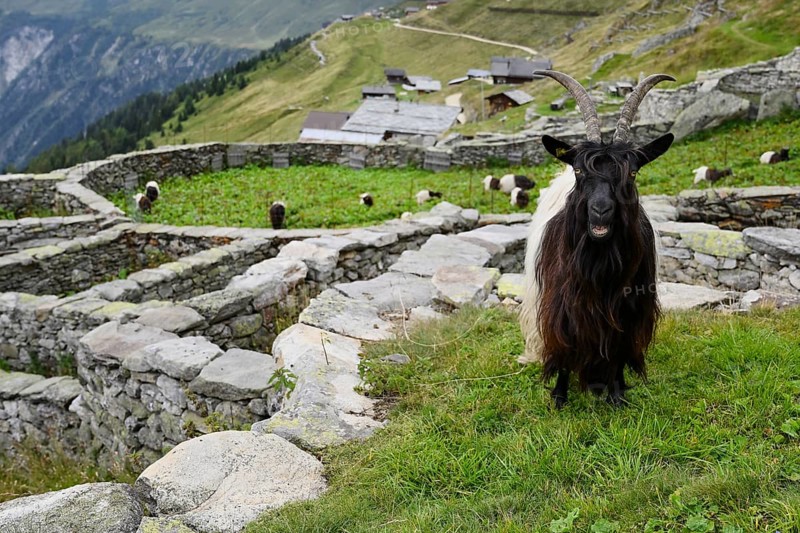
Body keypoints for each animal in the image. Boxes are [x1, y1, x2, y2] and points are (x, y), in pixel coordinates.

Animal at [518, 70, 675, 408]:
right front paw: (559, 397)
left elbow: (618, 351)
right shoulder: (560, 304)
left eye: (632, 173)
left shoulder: (629, 309)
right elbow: (563, 345)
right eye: (579, 170)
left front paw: (617, 394)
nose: (601, 211)